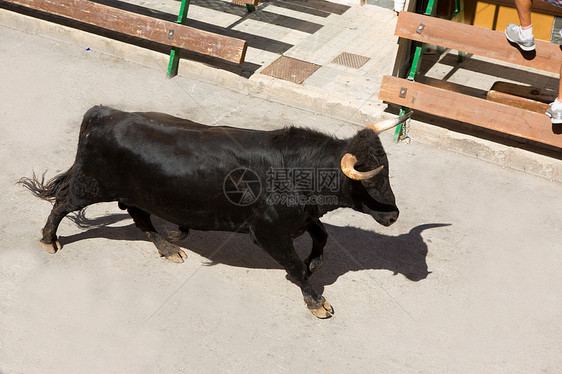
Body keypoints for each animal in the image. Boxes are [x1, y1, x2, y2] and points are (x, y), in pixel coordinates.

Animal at [19, 106, 410, 318]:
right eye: (373, 181)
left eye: (389, 172)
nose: (393, 216)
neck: (296, 169)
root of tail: (105, 114)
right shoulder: (269, 232)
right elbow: (296, 266)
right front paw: (316, 301)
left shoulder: (300, 219)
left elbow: (322, 236)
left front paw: (315, 263)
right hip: (92, 185)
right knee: (62, 203)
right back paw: (49, 239)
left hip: (138, 195)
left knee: (140, 217)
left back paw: (169, 247)